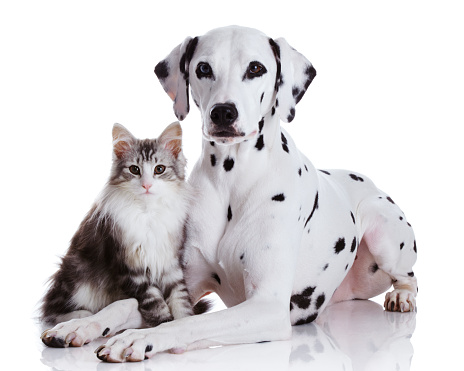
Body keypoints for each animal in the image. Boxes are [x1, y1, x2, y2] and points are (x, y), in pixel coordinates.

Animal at [40, 123, 196, 348]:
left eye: (159, 169)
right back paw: (80, 318)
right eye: (134, 169)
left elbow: (180, 301)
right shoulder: (130, 267)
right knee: (52, 311)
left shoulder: (170, 264)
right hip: (75, 275)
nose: (147, 185)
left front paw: (181, 327)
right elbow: (155, 303)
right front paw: (162, 326)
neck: (148, 212)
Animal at [93, 26, 416, 364]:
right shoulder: (187, 283)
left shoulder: (267, 307)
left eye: (256, 68)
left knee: (410, 276)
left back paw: (402, 296)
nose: (223, 112)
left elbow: (192, 323)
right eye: (203, 68)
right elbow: (127, 304)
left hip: (383, 229)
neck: (231, 178)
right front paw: (84, 325)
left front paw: (139, 338)